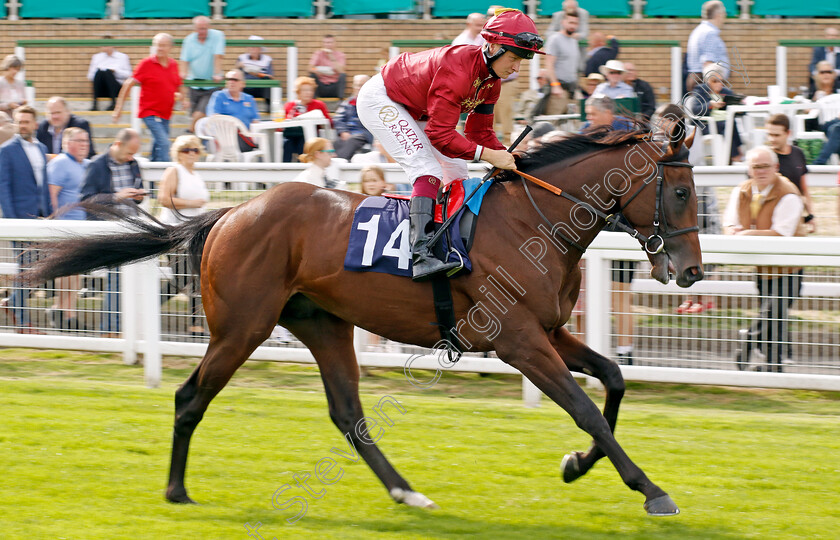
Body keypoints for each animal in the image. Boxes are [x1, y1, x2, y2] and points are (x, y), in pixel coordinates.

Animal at [26, 125, 704, 516]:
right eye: (679, 193)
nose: (692, 270)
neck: (532, 221)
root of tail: (229, 213)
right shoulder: (517, 340)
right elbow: (585, 406)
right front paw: (651, 489)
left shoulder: (550, 331)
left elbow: (612, 379)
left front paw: (576, 465)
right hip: (243, 327)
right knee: (190, 396)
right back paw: (176, 491)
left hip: (324, 324)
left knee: (348, 414)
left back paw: (407, 491)